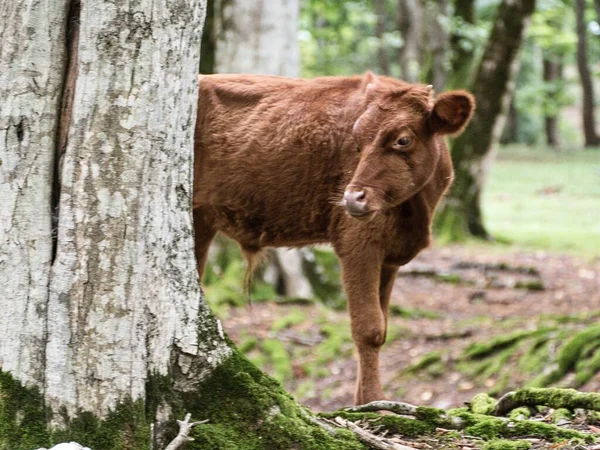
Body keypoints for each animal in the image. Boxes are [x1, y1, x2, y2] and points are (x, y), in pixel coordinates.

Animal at [193, 73, 474, 404]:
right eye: (358, 140)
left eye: (402, 139)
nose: (352, 198)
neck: (417, 210)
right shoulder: (358, 247)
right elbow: (369, 329)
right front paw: (377, 404)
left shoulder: (390, 258)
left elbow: (382, 324)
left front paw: (364, 403)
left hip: (200, 223)